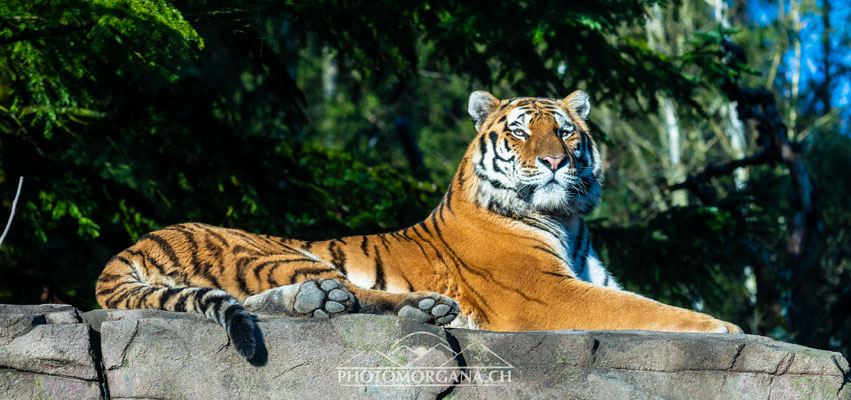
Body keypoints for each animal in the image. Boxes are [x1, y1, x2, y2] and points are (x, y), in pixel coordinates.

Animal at [96, 90, 744, 360]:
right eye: (520, 131)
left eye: (563, 131)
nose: (555, 162)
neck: (566, 221)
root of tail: (132, 245)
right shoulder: (548, 294)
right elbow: (649, 310)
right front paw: (727, 329)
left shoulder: (588, 280)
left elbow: (640, 300)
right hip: (266, 247)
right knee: (346, 293)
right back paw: (423, 308)